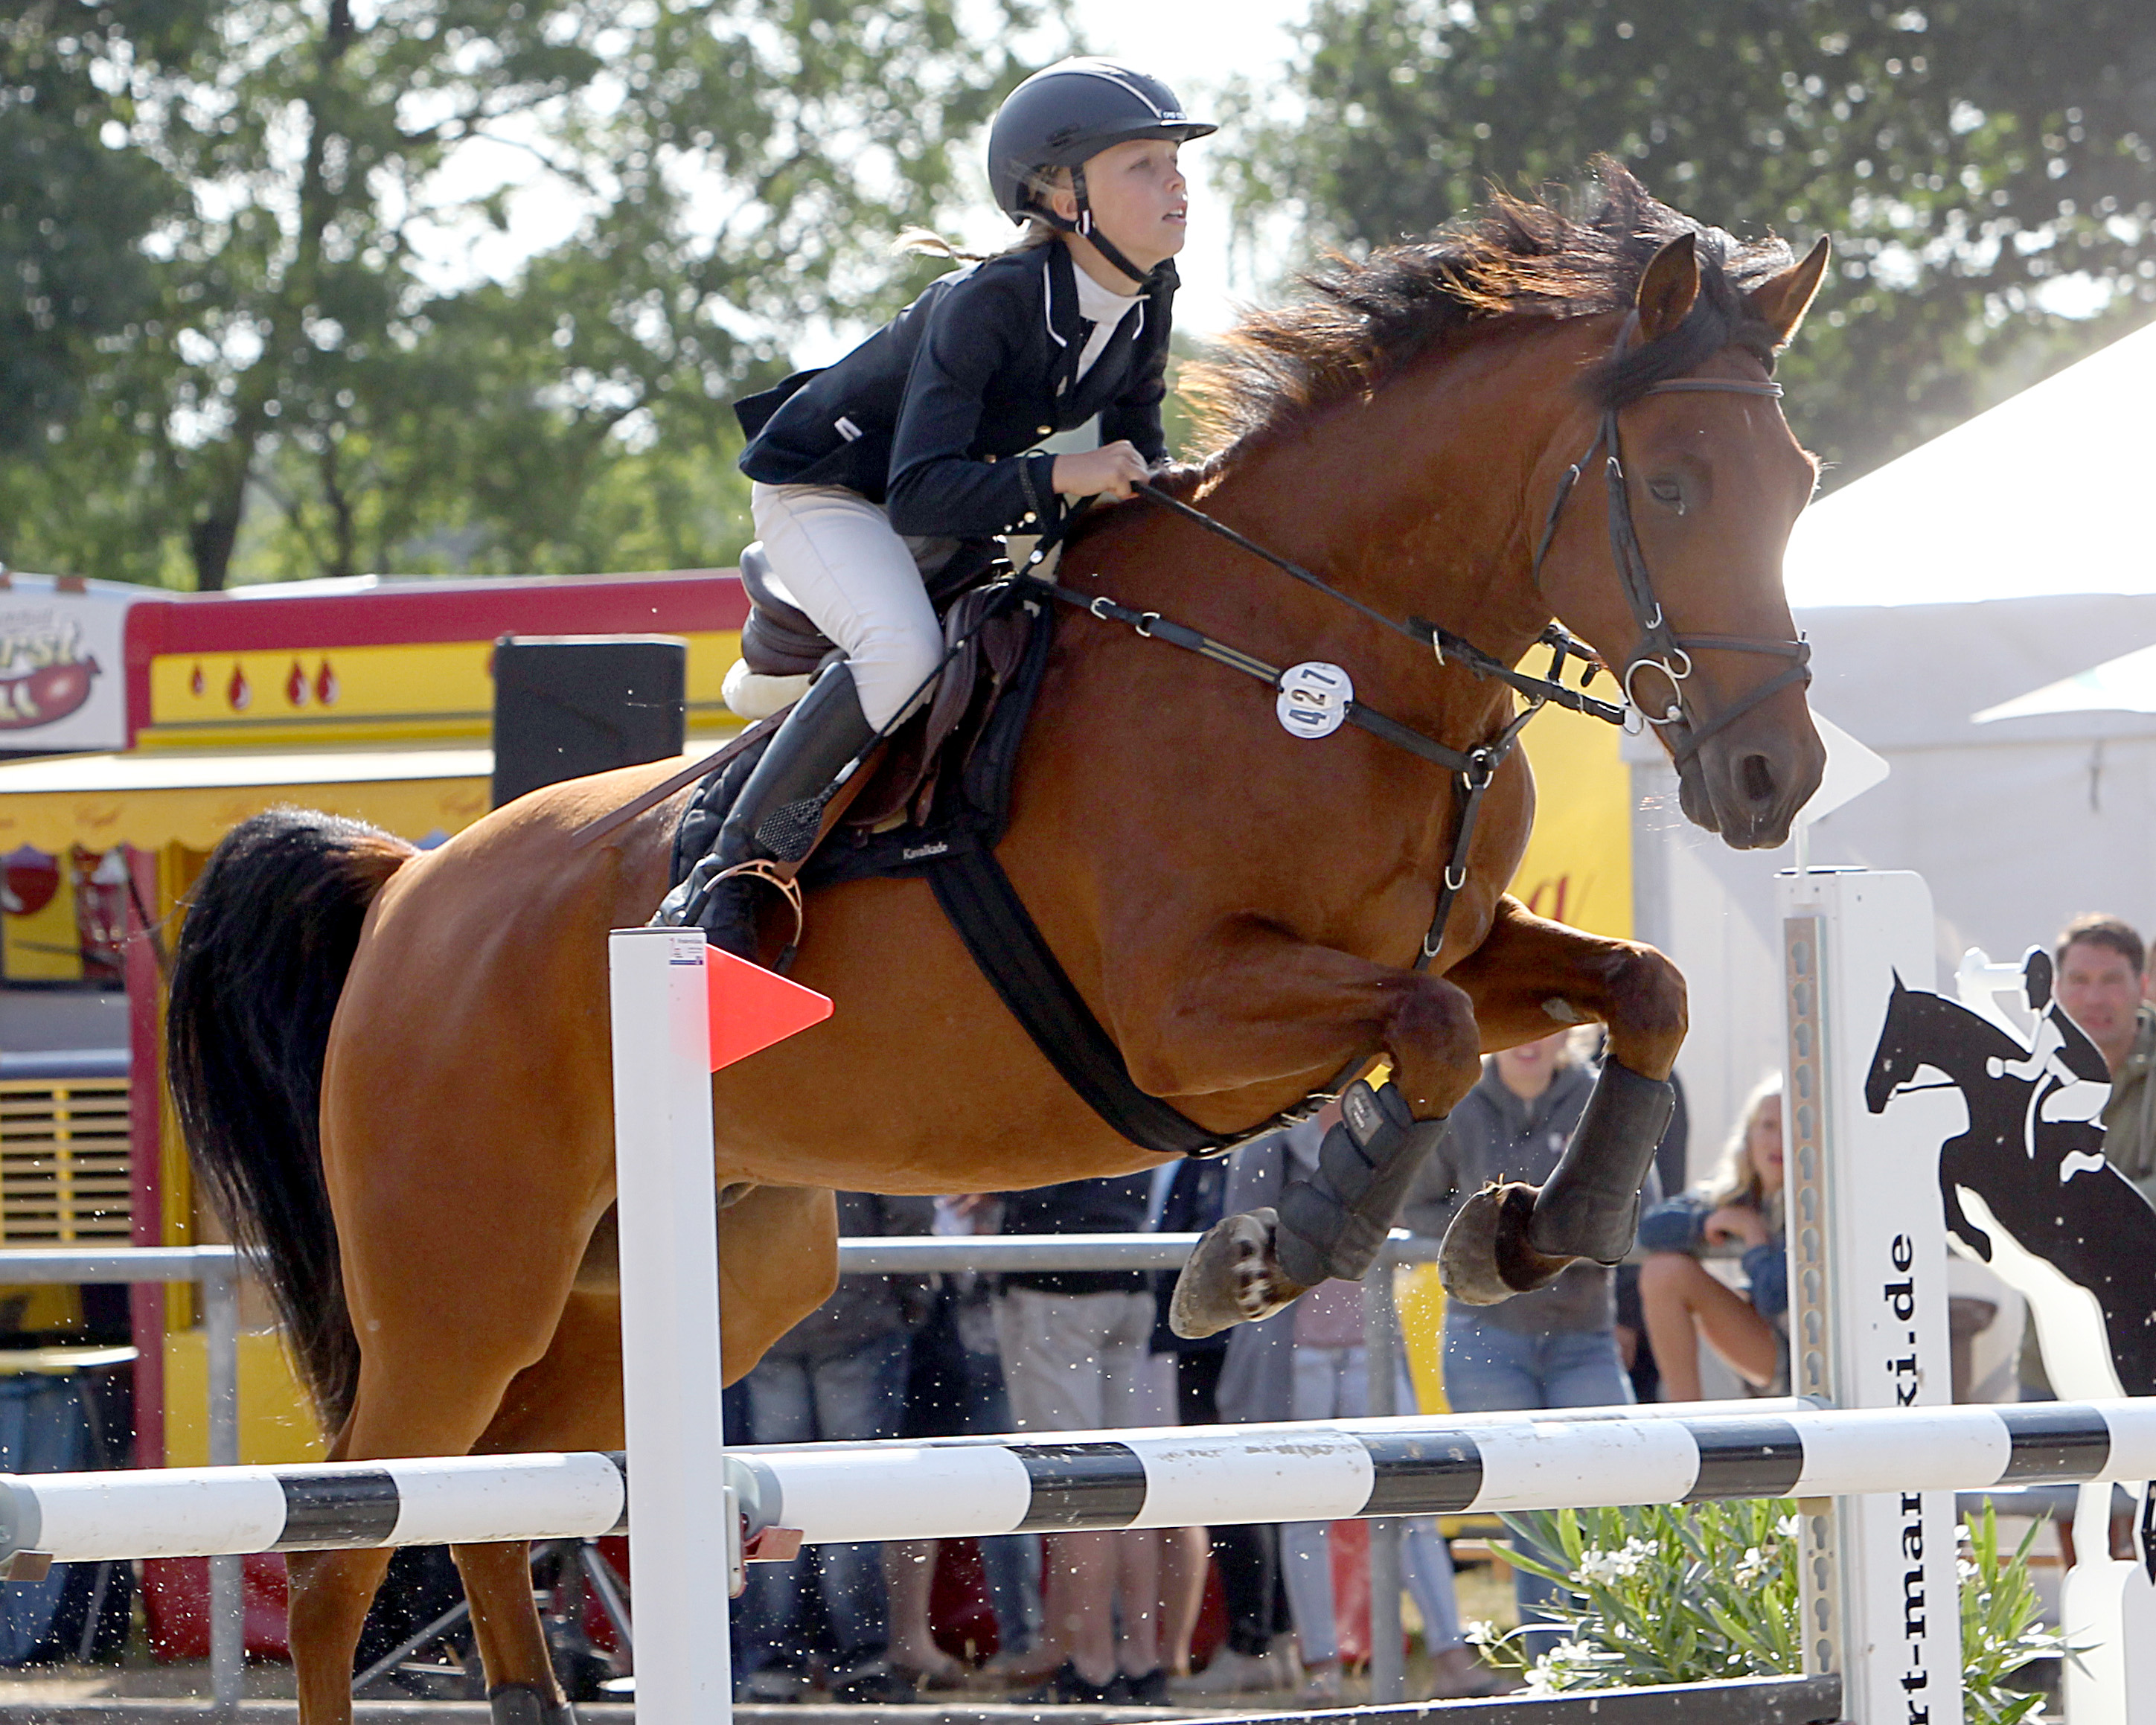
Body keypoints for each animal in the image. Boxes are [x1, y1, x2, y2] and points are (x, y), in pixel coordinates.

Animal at [164, 164, 1820, 1725]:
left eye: (1797, 481)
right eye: (1674, 485)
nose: (1773, 779)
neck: (1324, 659)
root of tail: (407, 890)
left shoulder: (1457, 943)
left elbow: (1640, 990)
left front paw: (1535, 1229)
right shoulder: (1182, 1012)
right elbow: (1430, 1034)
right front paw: (1263, 1255)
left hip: (694, 1273)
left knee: (505, 1496)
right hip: (463, 1284)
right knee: (345, 1556)